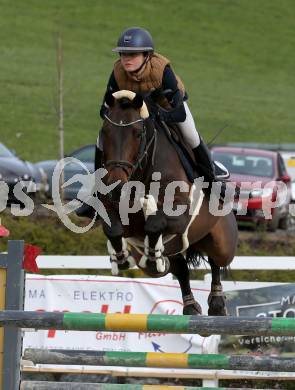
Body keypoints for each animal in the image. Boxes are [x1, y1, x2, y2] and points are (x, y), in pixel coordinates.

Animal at [98, 90, 239, 316]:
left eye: (137, 133)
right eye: (105, 132)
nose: (116, 186)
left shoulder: (179, 216)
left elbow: (155, 223)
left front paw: (152, 254)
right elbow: (114, 229)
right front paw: (121, 257)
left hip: (222, 243)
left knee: (216, 261)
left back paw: (217, 304)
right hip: (177, 250)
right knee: (180, 268)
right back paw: (190, 306)